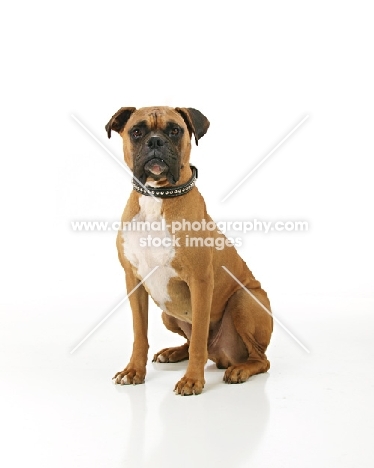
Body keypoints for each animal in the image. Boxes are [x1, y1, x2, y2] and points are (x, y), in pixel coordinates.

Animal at [105, 106, 272, 394]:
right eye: (136, 132)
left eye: (175, 130)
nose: (155, 142)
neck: (157, 197)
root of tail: (223, 357)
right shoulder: (134, 281)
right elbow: (140, 333)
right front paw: (134, 371)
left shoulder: (200, 281)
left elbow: (198, 340)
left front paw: (192, 379)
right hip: (167, 315)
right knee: (195, 342)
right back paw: (173, 352)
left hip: (243, 300)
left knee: (259, 358)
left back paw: (240, 369)